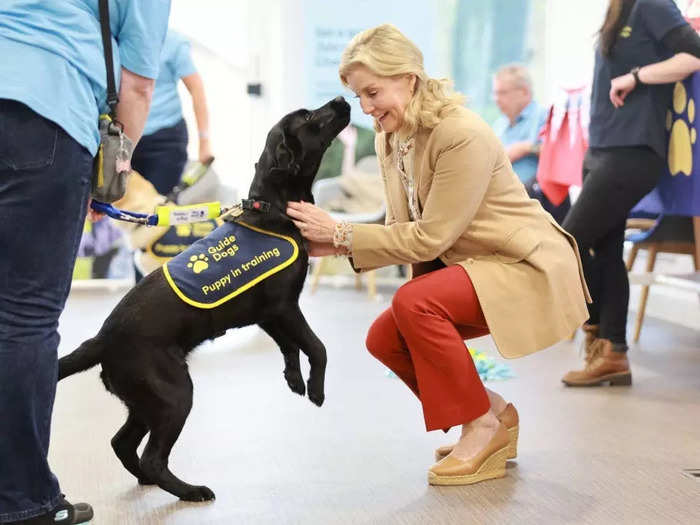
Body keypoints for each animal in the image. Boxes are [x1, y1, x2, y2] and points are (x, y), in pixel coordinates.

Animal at [57, 96, 350, 502]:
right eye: (308, 117)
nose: (341, 99)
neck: (271, 210)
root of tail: (101, 340)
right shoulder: (285, 307)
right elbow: (317, 347)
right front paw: (317, 390)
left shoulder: (269, 314)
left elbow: (291, 347)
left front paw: (294, 379)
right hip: (174, 394)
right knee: (151, 456)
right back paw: (190, 491)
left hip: (146, 401)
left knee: (121, 443)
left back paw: (150, 481)